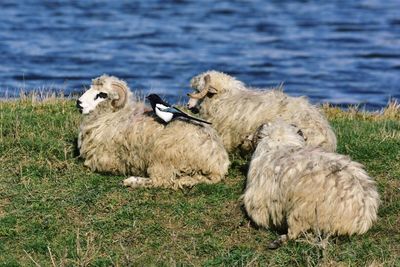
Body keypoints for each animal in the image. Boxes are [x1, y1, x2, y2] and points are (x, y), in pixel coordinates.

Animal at [76, 74, 230, 189]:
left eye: (102, 94)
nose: (78, 103)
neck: (115, 115)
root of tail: (218, 161)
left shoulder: (105, 160)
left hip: (163, 155)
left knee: (161, 181)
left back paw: (132, 181)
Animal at [242, 121, 380, 249]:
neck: (280, 144)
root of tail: (362, 217)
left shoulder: (258, 203)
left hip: (301, 212)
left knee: (295, 233)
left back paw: (278, 241)